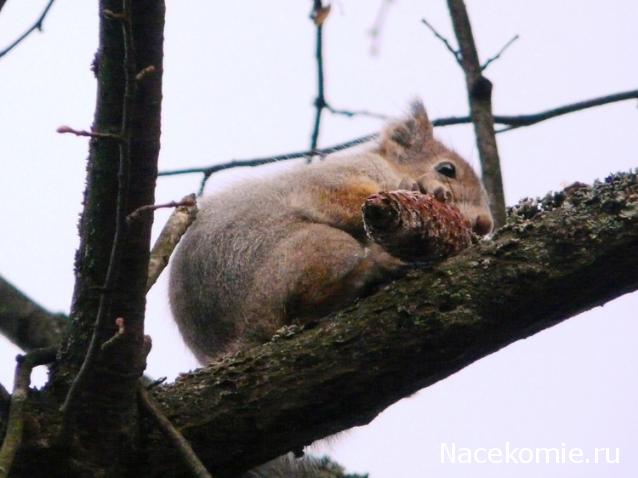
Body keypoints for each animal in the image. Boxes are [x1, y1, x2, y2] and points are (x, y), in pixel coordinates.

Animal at [168, 100, 492, 362]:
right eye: (447, 169)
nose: (485, 224)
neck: (387, 167)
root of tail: (242, 337)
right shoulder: (330, 180)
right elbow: (334, 198)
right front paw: (426, 188)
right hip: (316, 249)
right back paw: (369, 272)